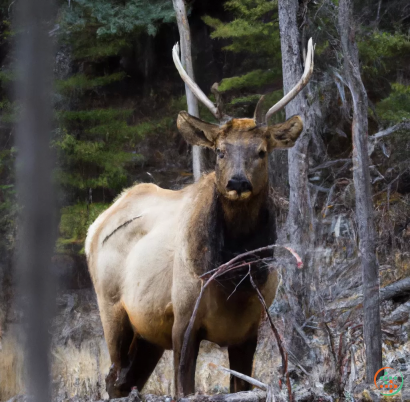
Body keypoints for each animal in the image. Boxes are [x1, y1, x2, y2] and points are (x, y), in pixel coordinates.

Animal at [85, 38, 316, 398]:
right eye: (220, 151)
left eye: (261, 151)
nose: (238, 182)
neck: (234, 281)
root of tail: (94, 227)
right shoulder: (183, 319)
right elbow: (184, 388)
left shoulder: (250, 329)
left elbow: (240, 386)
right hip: (112, 310)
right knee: (113, 381)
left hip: (148, 335)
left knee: (128, 380)